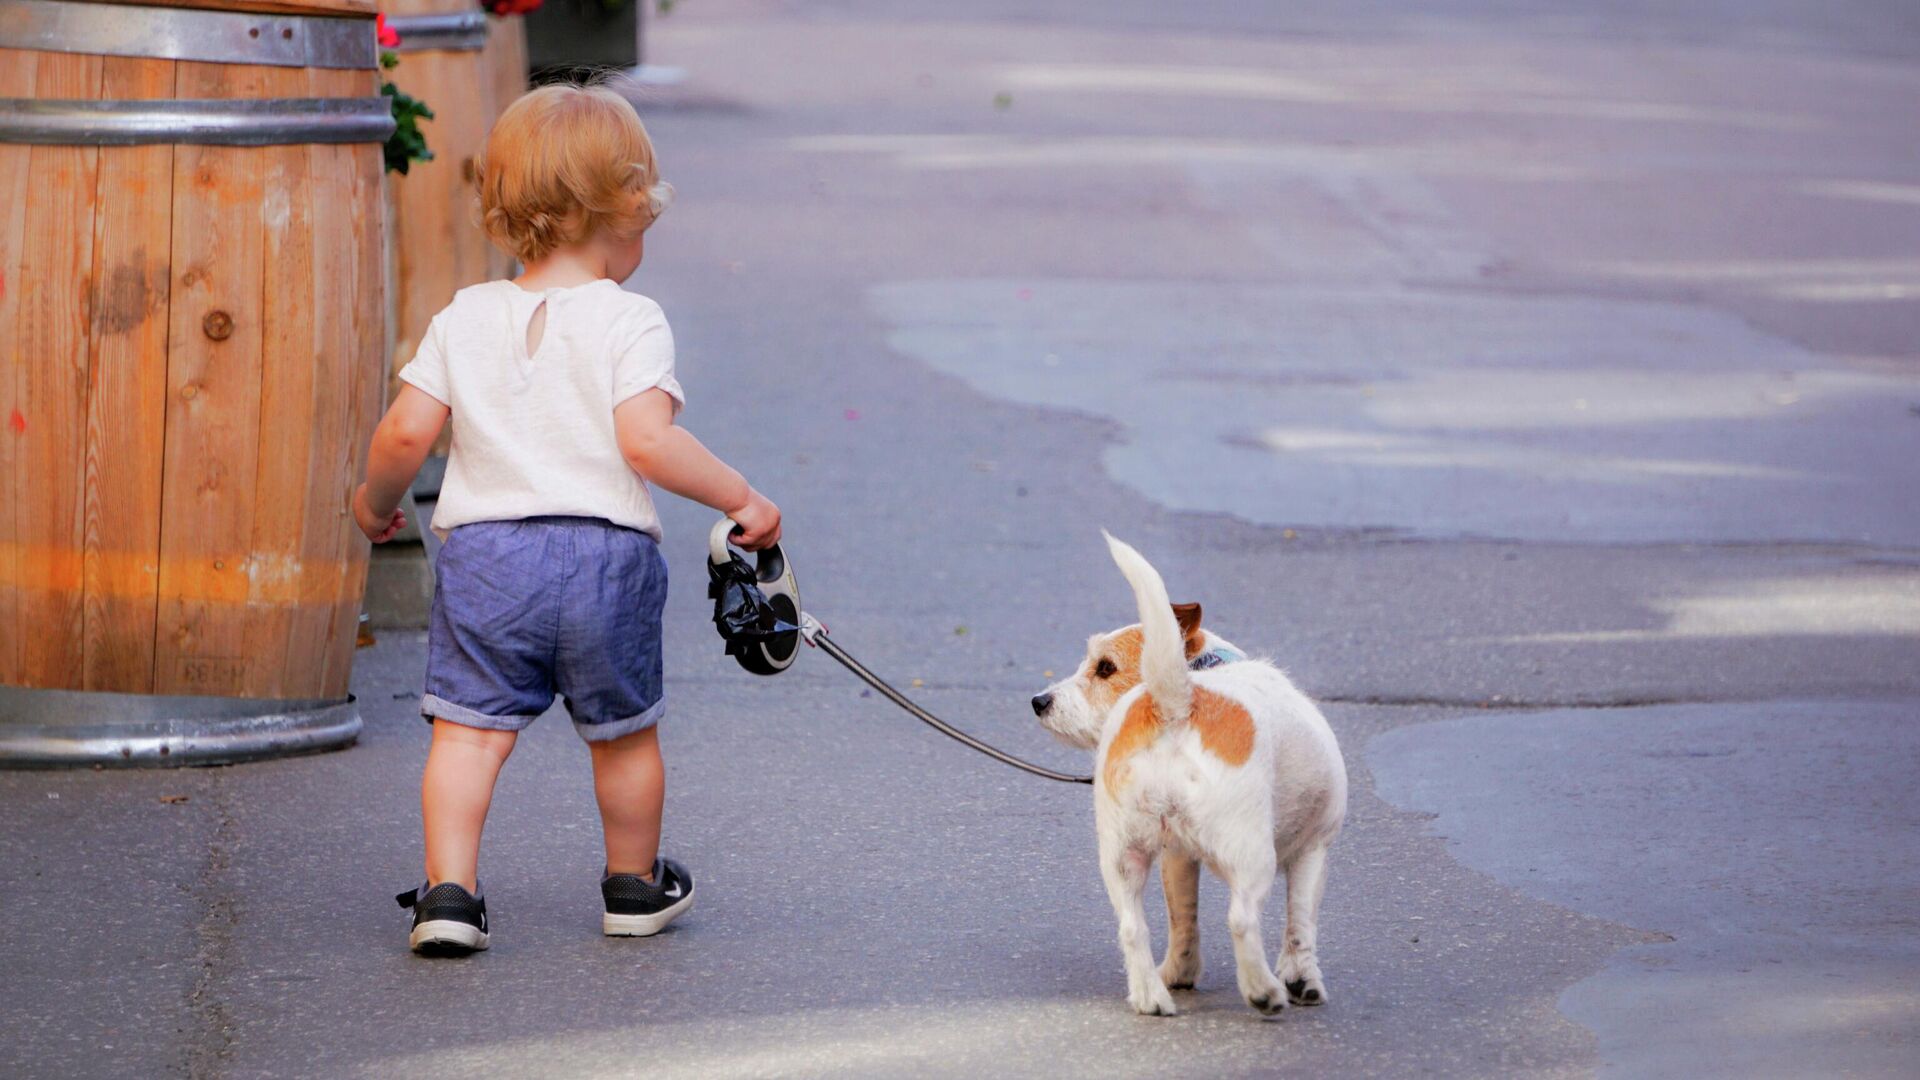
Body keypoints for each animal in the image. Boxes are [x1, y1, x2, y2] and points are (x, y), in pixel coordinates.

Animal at [1036, 534, 1351, 1014]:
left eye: (1104, 667)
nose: (1039, 701)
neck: (1206, 669)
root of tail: (1176, 703)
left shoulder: (1177, 857)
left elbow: (1182, 918)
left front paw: (1180, 972)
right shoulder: (1313, 849)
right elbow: (1300, 923)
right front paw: (1303, 980)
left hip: (1122, 857)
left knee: (1132, 928)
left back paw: (1150, 995)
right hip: (1254, 854)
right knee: (1241, 919)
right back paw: (1262, 990)